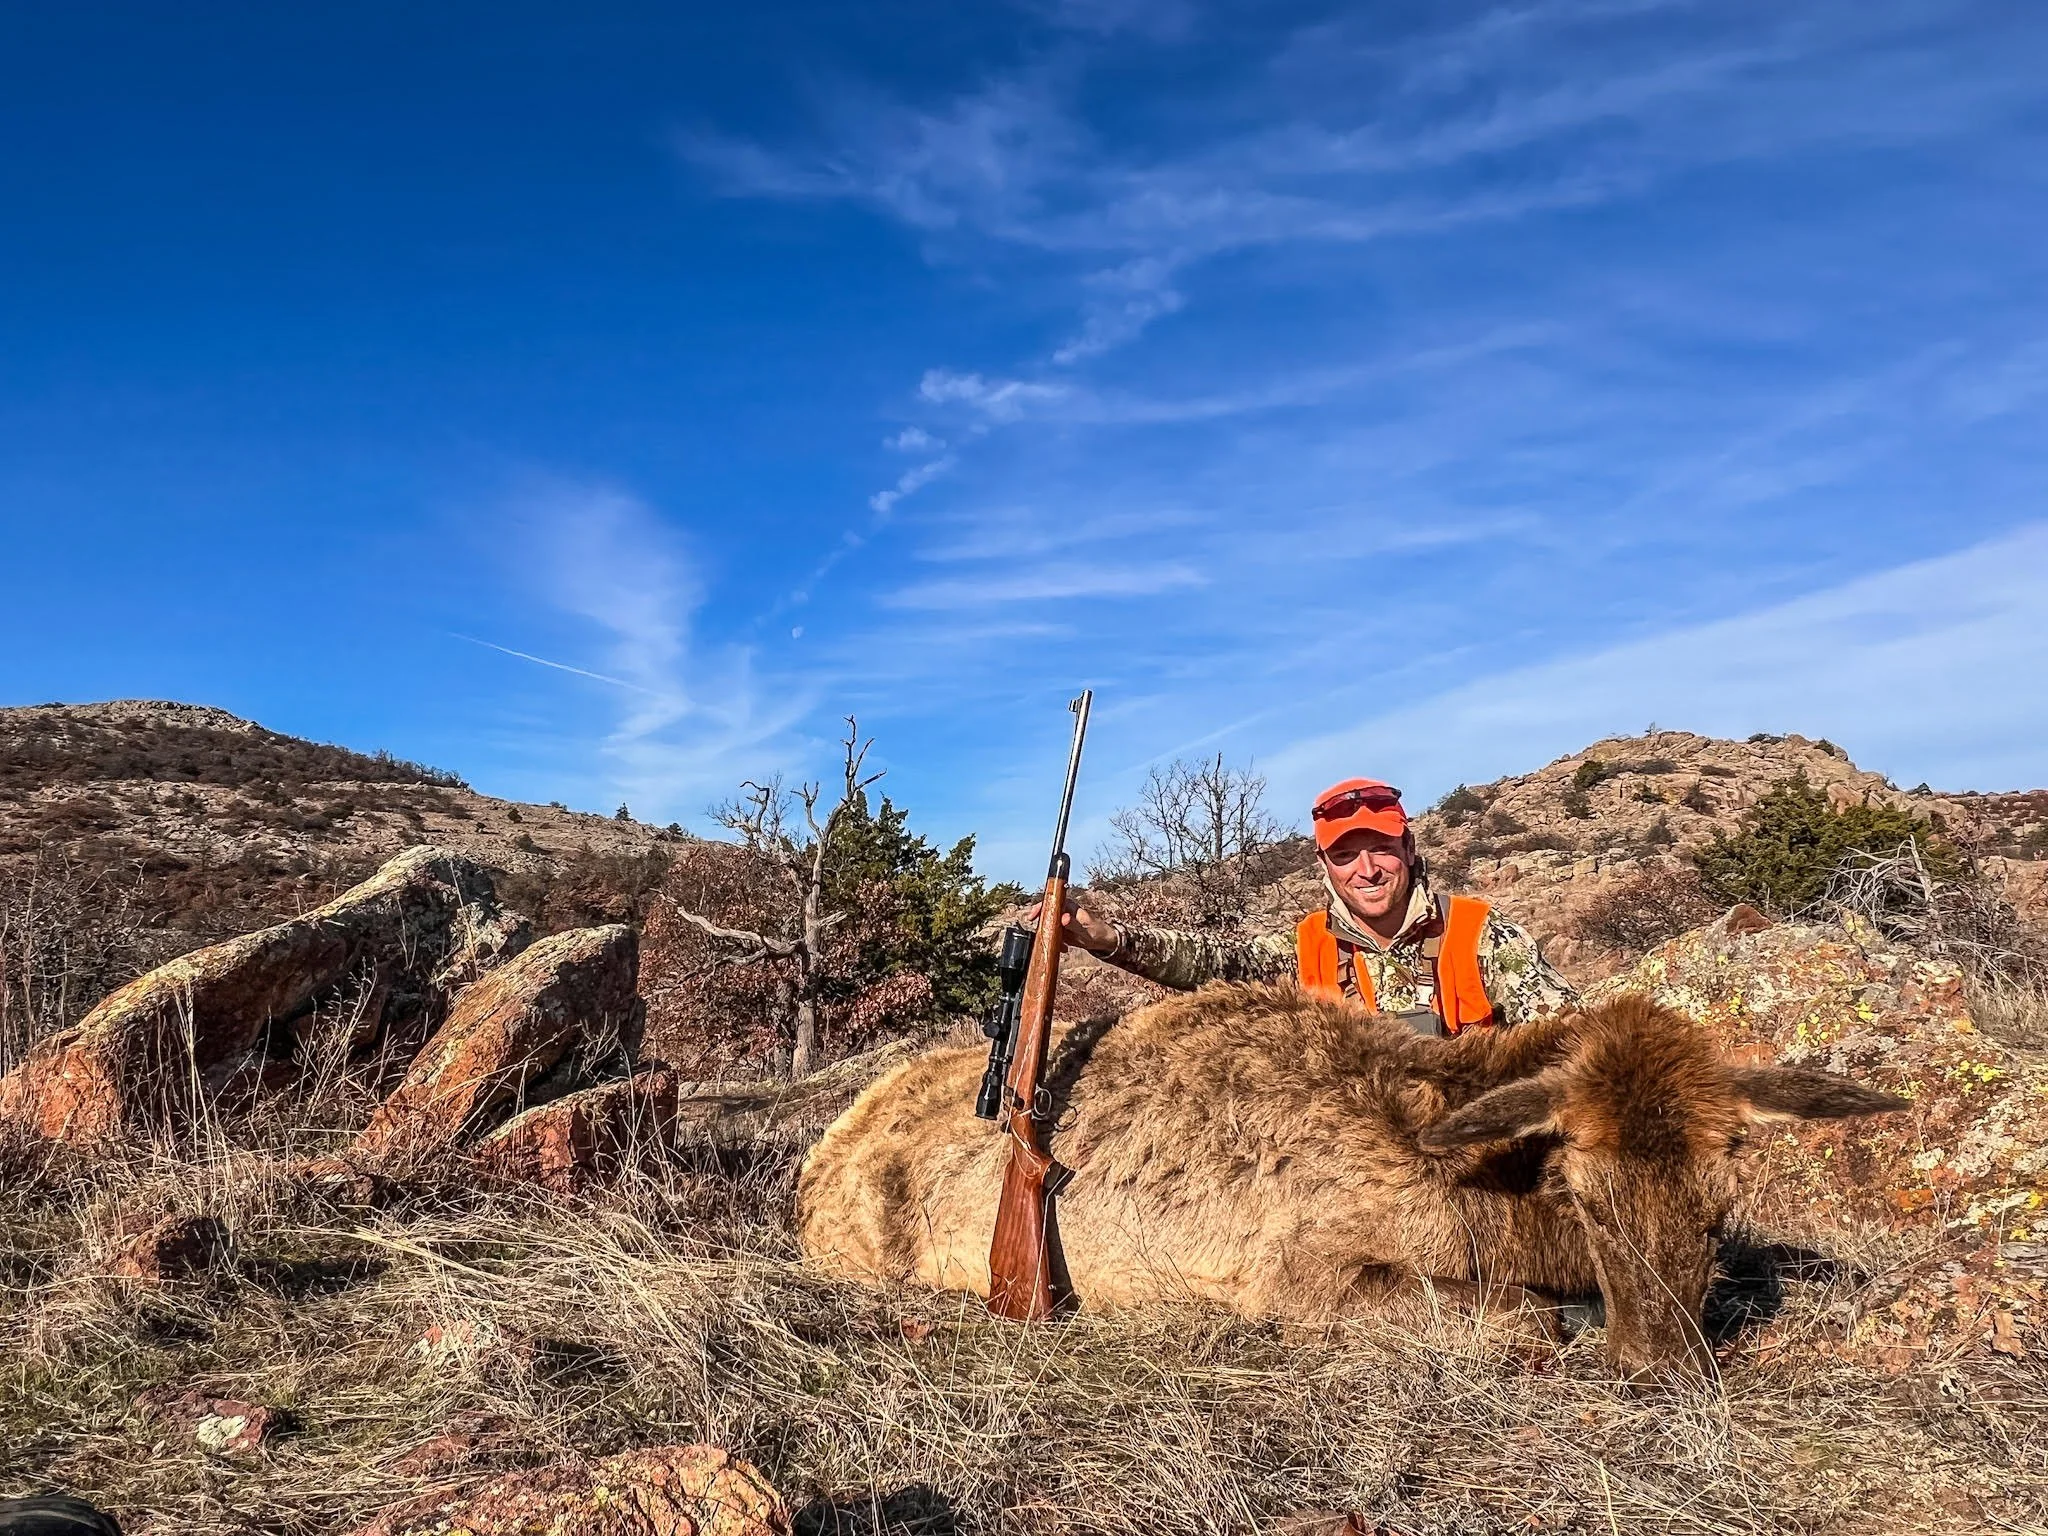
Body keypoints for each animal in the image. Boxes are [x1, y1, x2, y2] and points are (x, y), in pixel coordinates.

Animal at [796, 984, 1906, 1379]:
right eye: (1582, 1191)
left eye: (1722, 1200)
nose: (1662, 1366)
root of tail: (810, 1164)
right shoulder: (1294, 1275)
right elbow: (1523, 1316)